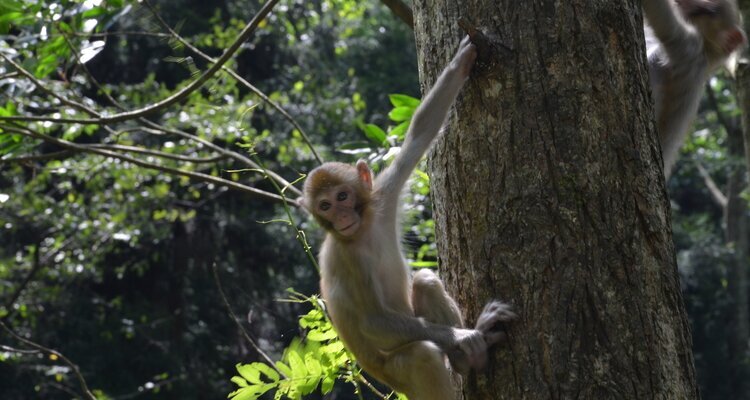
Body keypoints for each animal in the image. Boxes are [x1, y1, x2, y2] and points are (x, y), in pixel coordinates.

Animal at [300, 37, 517, 400]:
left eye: (343, 197)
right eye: (325, 206)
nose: (341, 216)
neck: (362, 231)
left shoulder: (381, 196)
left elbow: (420, 134)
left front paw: (460, 63)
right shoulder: (344, 259)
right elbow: (373, 324)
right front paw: (463, 337)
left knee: (425, 280)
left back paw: (465, 358)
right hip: (400, 374)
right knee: (421, 354)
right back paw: (469, 352)